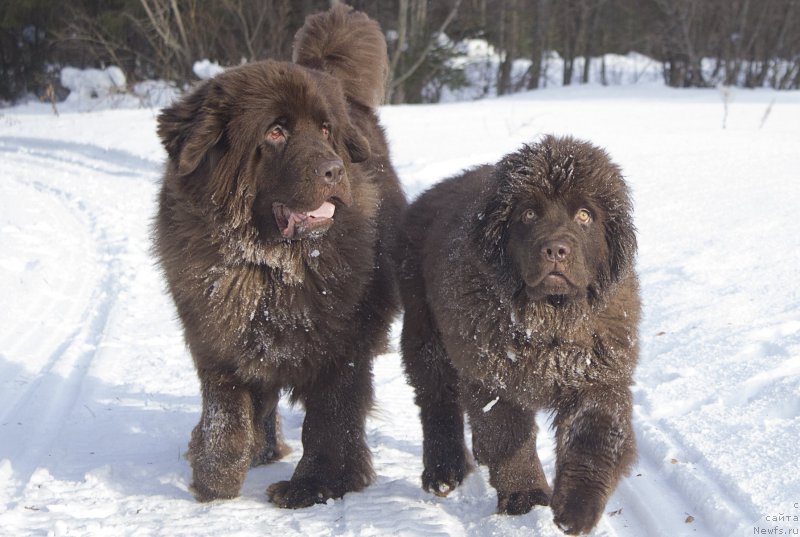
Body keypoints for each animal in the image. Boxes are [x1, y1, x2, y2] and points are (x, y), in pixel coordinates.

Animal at [153, 5, 406, 506]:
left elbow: (329, 419)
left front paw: (316, 485)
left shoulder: (343, 344)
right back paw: (261, 448)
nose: (333, 169)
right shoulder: (215, 332)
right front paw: (217, 476)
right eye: (275, 131)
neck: (268, 265)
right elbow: (225, 410)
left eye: (326, 129)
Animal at [400, 135, 644, 532]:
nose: (556, 249)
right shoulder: (493, 377)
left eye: (584, 216)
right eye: (528, 214)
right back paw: (443, 471)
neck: (549, 321)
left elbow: (593, 438)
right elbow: (508, 439)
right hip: (423, 328)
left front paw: (575, 510)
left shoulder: (599, 373)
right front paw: (525, 499)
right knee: (437, 400)